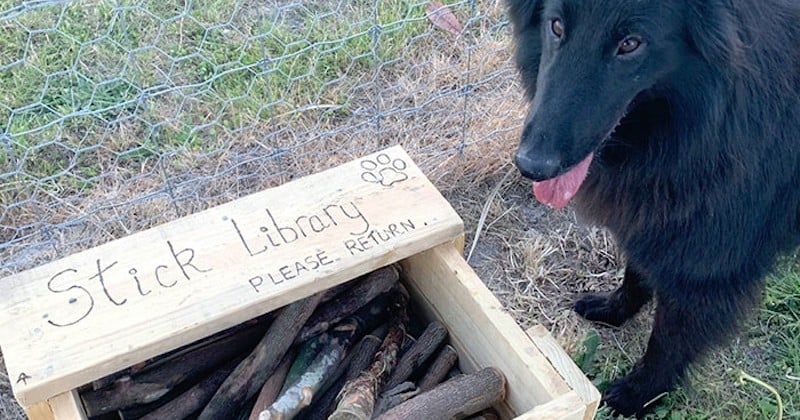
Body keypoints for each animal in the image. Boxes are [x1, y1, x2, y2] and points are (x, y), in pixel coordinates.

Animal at [506, 0, 800, 416]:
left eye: (631, 43)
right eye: (557, 26)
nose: (532, 165)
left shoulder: (706, 264)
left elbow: (668, 339)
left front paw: (639, 394)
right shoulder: (657, 218)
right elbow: (637, 269)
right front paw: (616, 308)